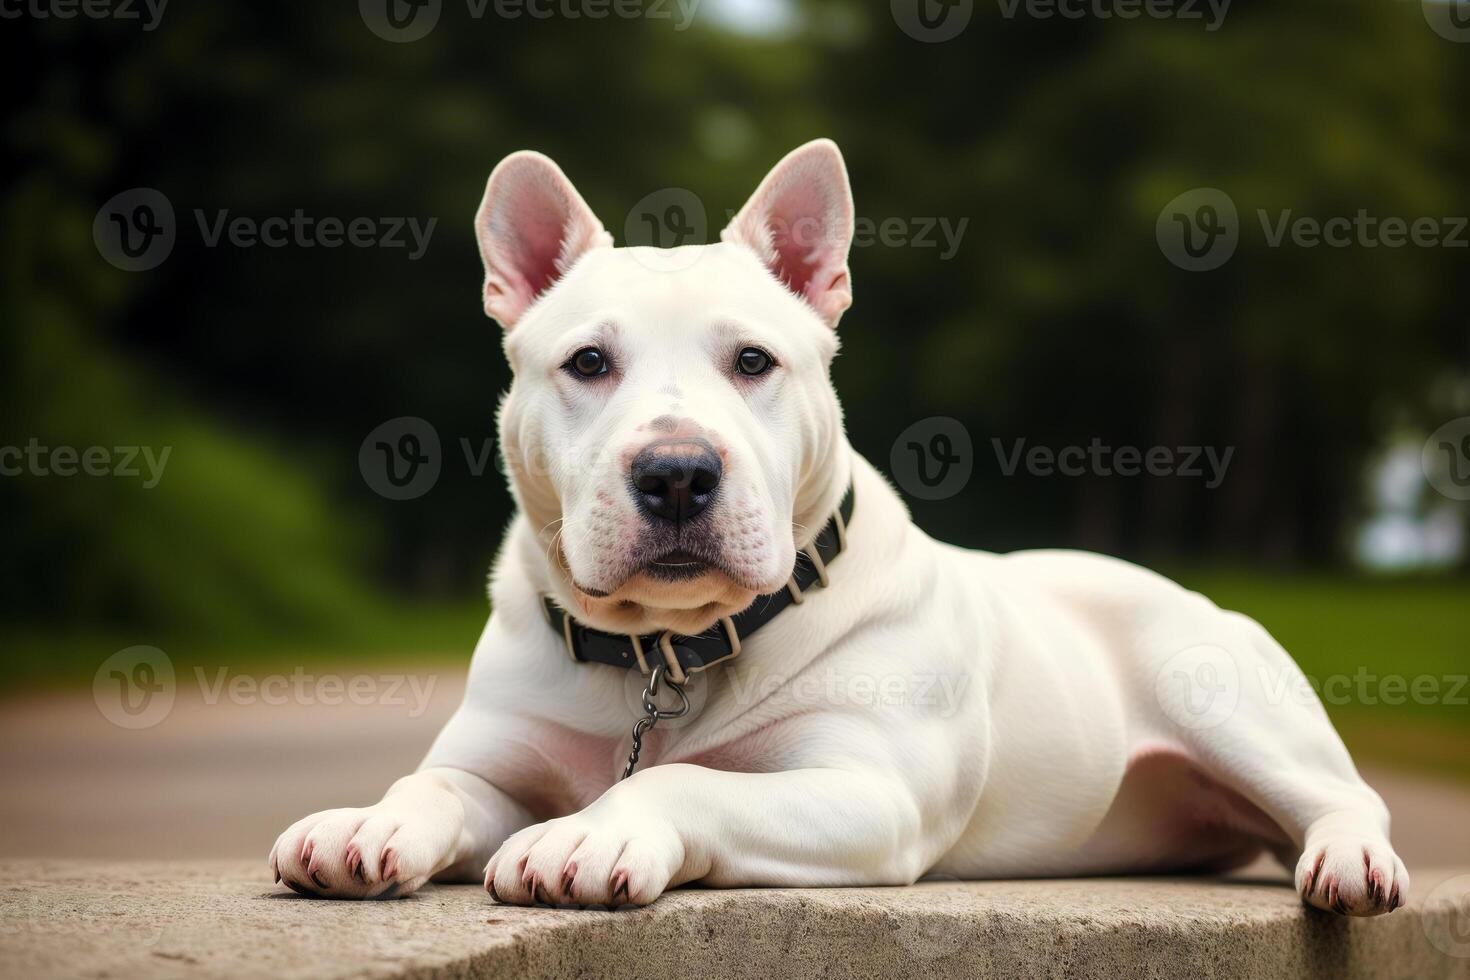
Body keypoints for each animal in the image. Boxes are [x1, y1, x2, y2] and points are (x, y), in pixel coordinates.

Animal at [270, 141, 1405, 916]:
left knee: (1345, 797)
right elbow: (431, 781)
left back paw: (1349, 858)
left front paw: (589, 834)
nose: (676, 474)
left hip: (1221, 692)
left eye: (754, 361)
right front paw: (369, 819)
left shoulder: (865, 793)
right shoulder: (493, 764)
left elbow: (685, 779)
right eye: (587, 362)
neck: (666, 651)